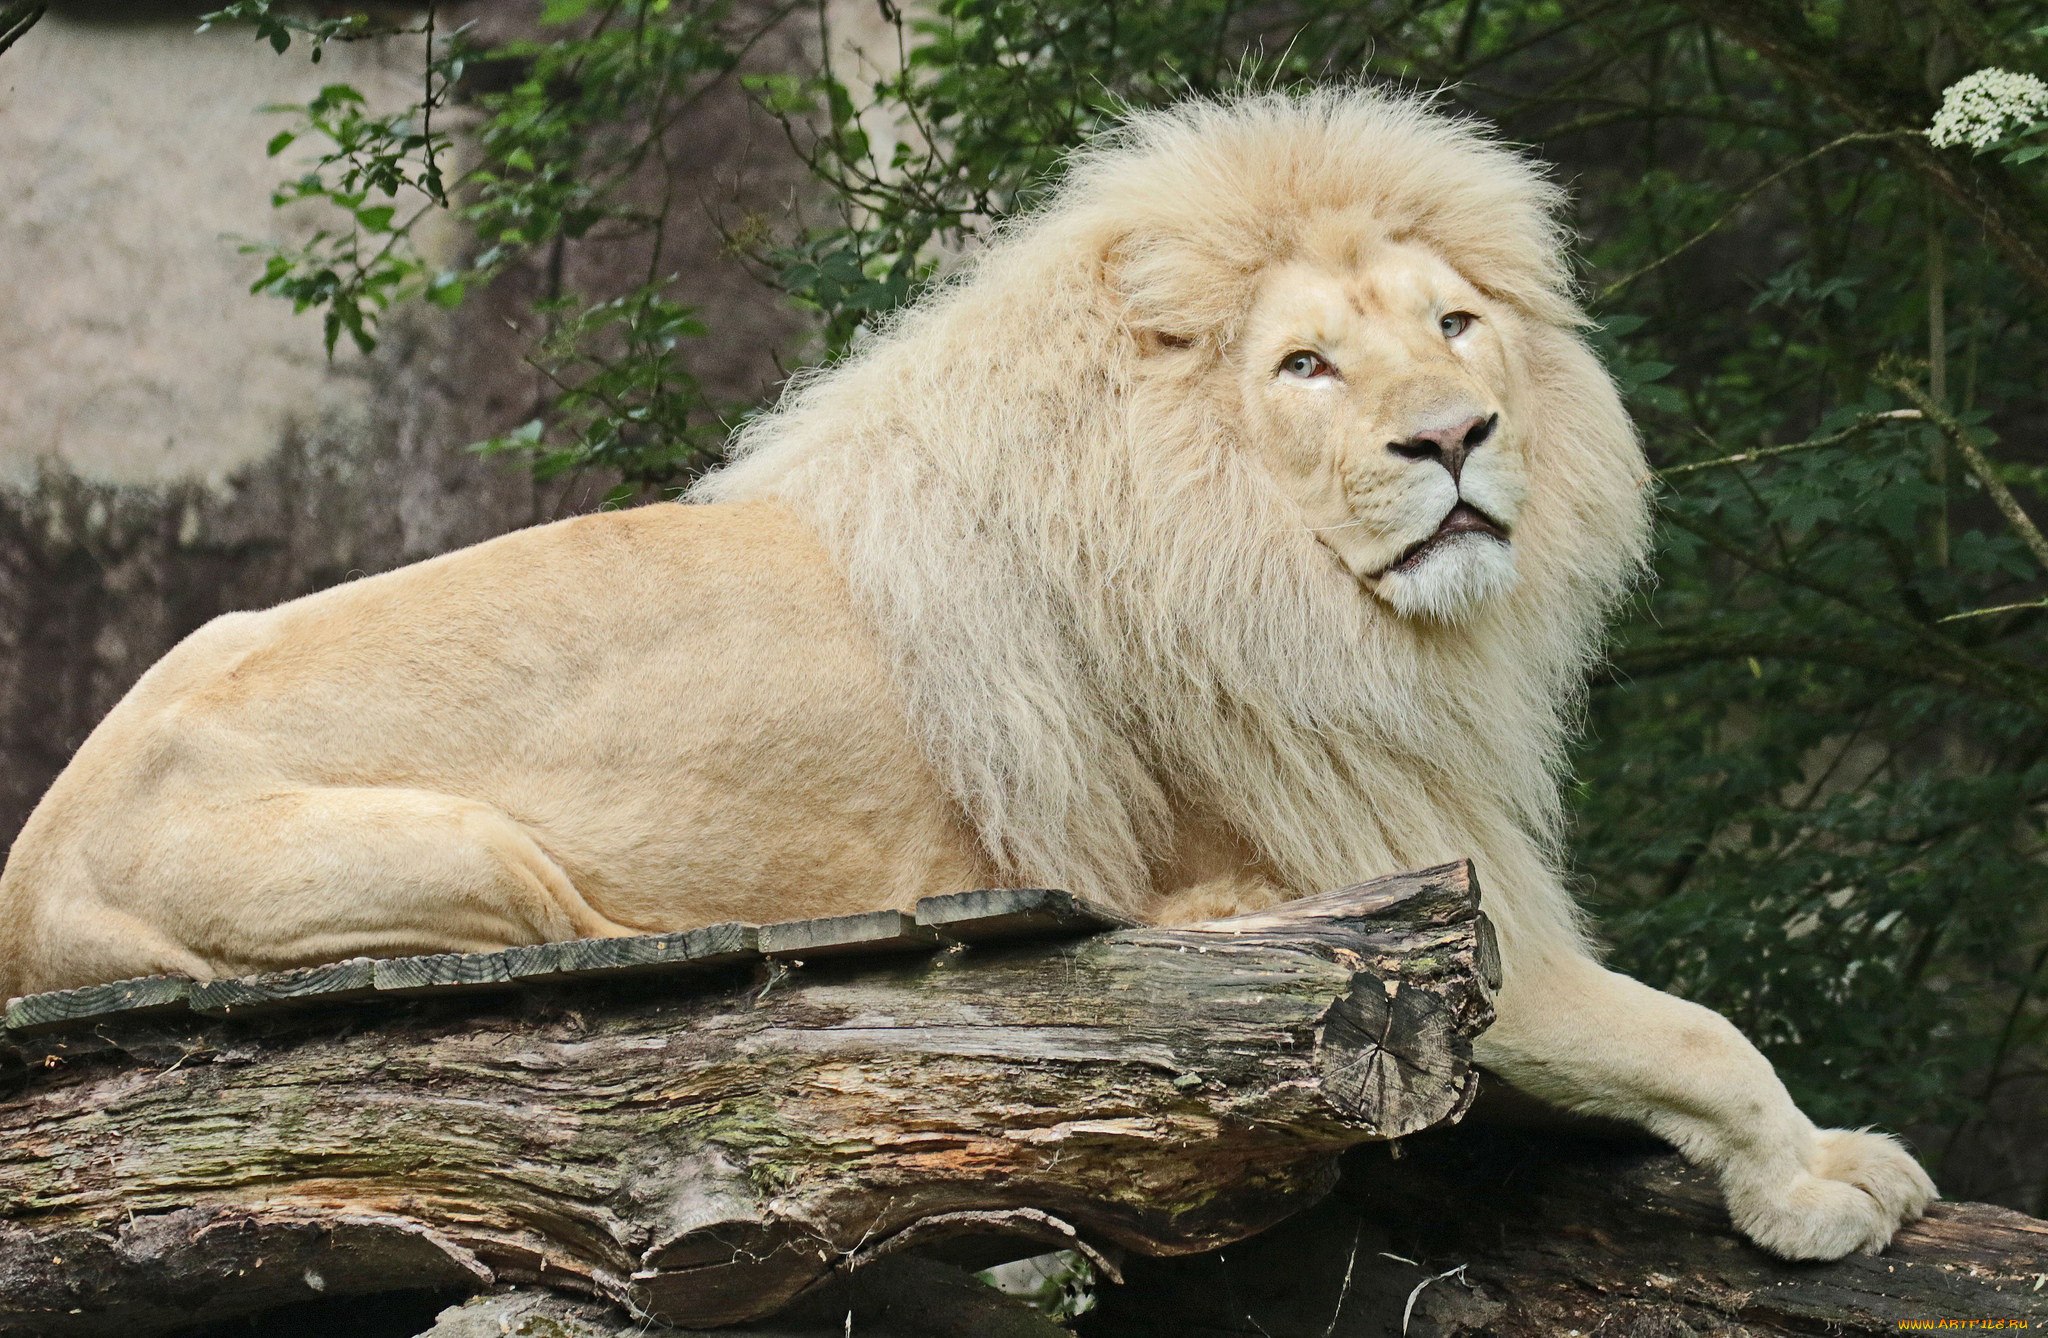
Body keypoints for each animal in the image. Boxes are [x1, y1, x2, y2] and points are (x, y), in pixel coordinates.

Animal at [0, 88, 1933, 1253]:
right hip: (478, 867)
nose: (1454, 436)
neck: (1282, 576)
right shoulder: (1406, 891)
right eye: (1306, 365)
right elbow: (1686, 1028)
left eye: (1454, 324)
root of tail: (33, 866)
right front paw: (1829, 1176)